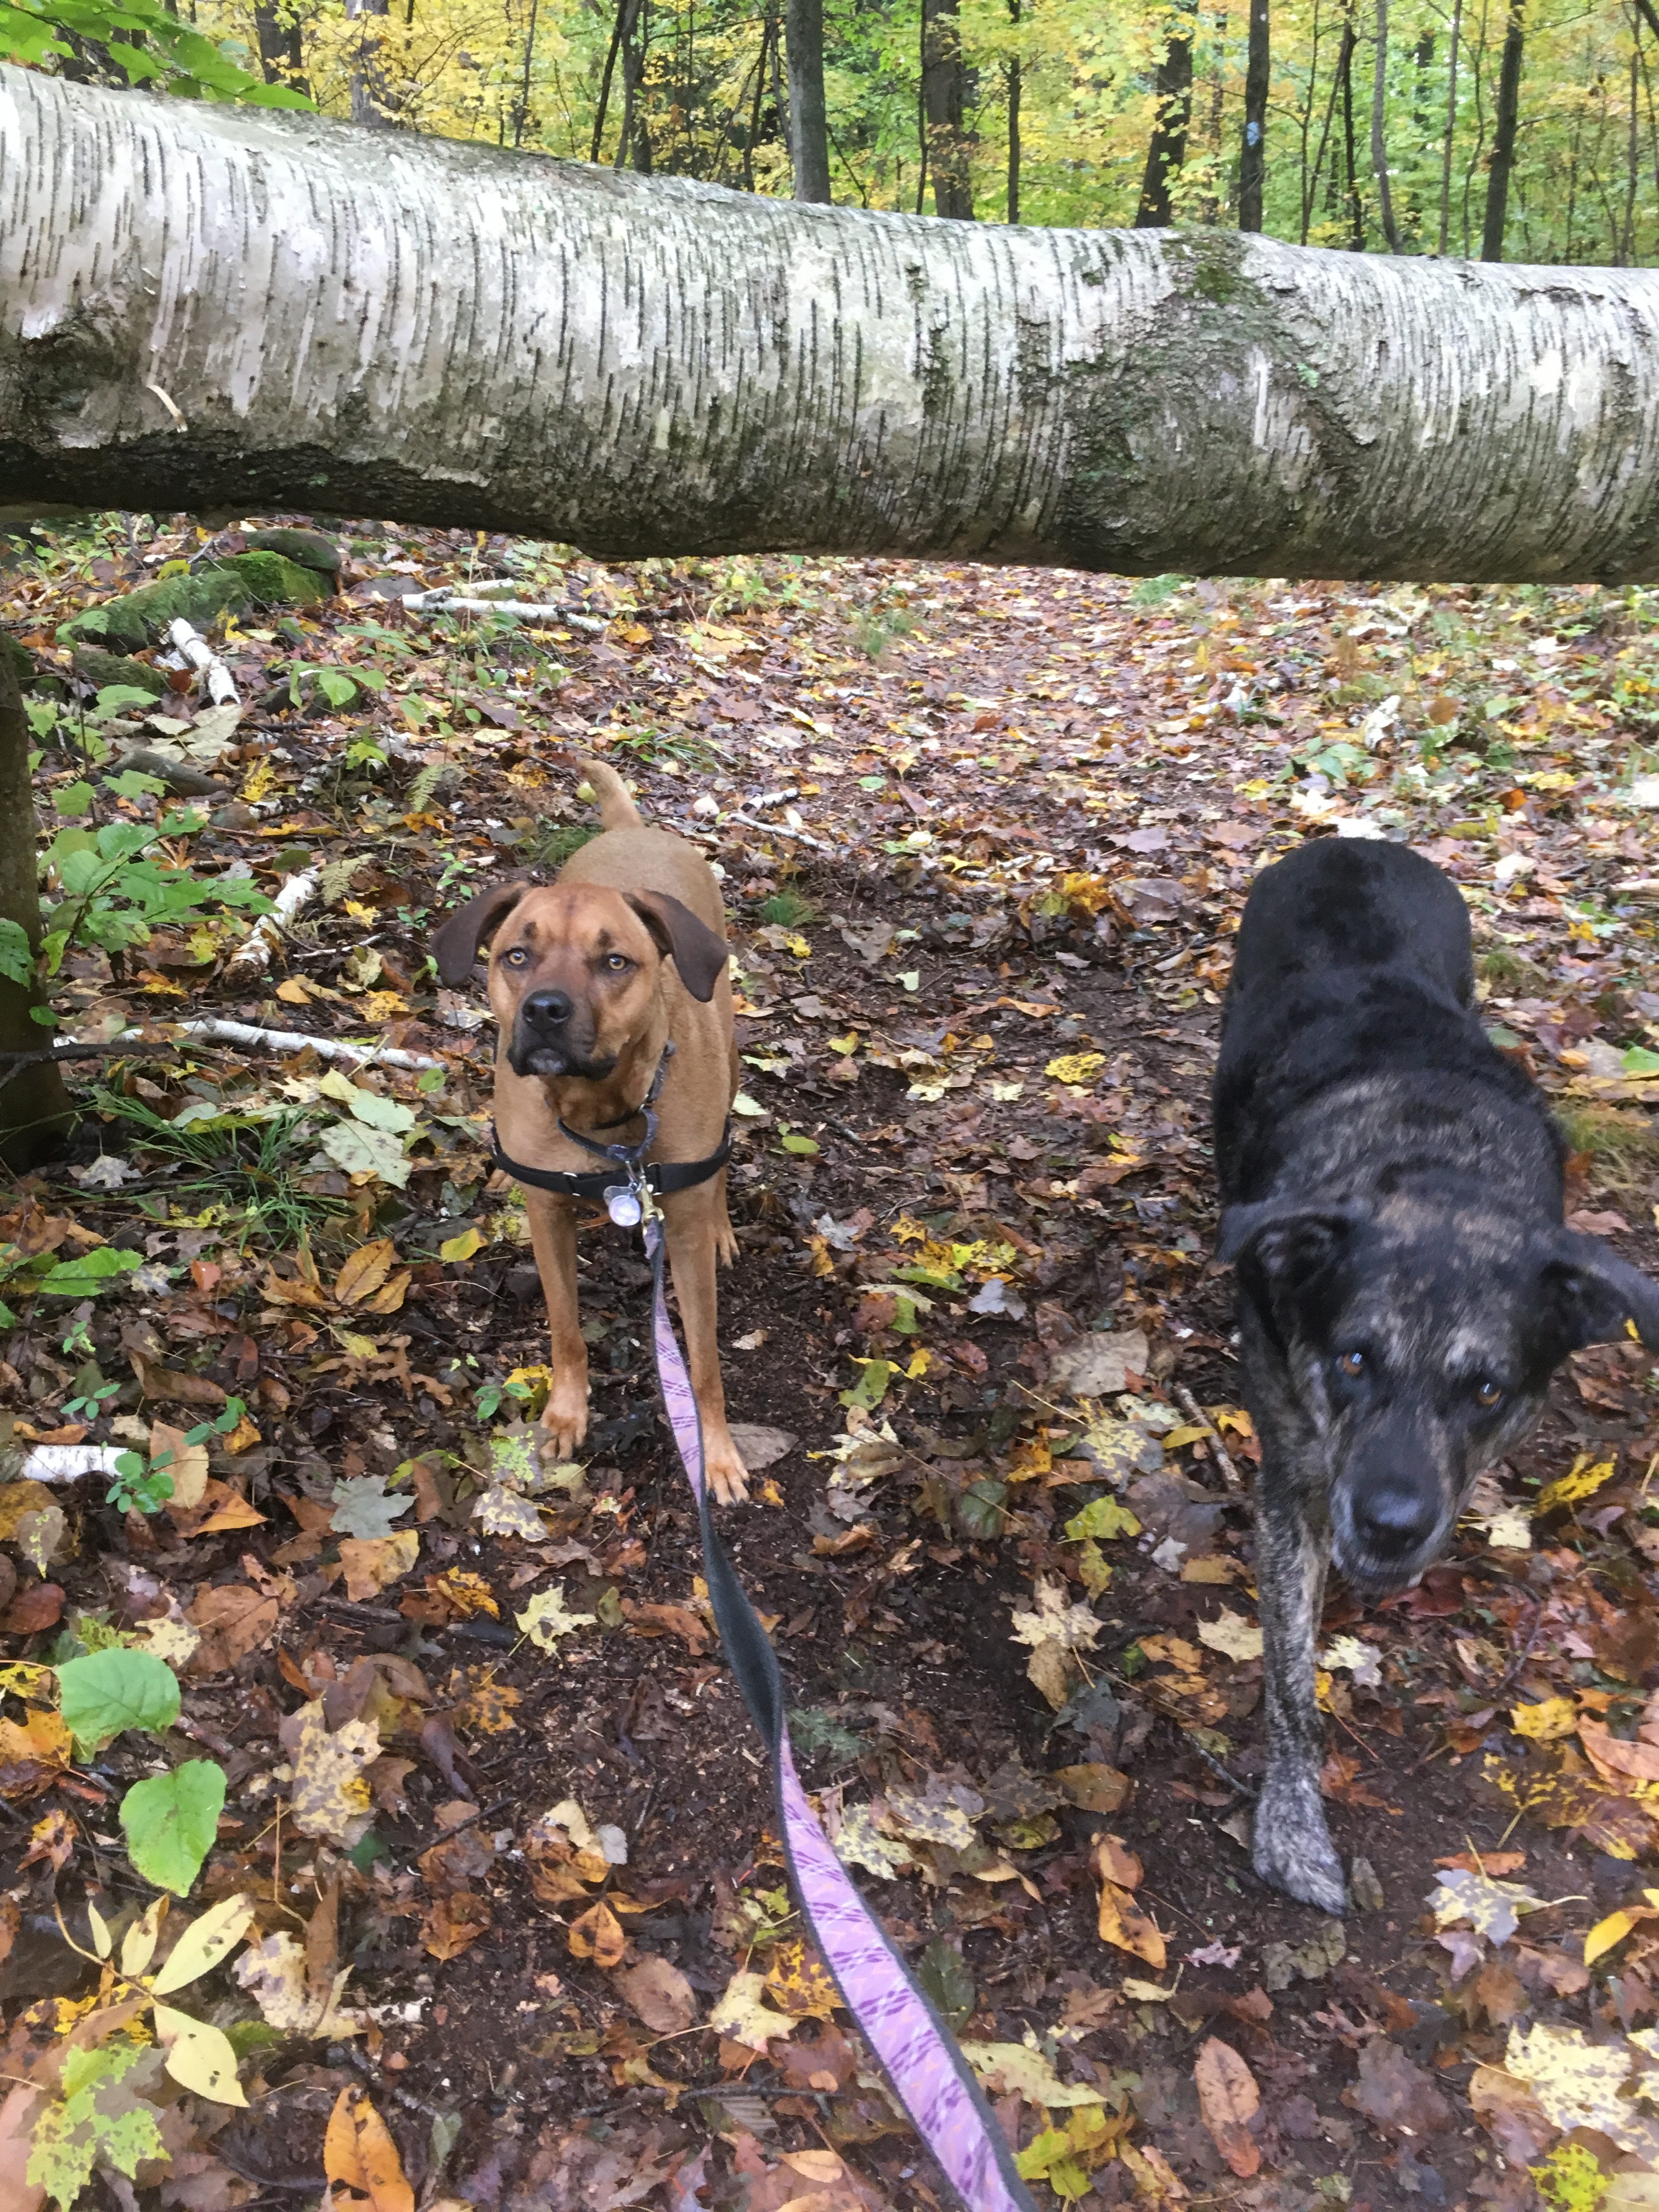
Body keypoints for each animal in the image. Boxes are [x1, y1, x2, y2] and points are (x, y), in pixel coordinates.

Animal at [433, 761, 751, 1503]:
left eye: (615, 964)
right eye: (517, 956)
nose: (545, 1011)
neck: (601, 1113)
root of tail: (636, 831)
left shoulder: (680, 1228)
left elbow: (703, 1363)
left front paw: (715, 1453)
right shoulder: (546, 1210)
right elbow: (566, 1327)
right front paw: (566, 1412)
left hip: (729, 1055)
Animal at [1213, 837, 1659, 1913]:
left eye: (1487, 1390)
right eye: (1351, 1360)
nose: (1388, 1524)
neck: (1431, 1167)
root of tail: (1352, 839)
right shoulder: (1293, 1476)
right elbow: (1288, 1674)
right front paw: (1292, 1823)